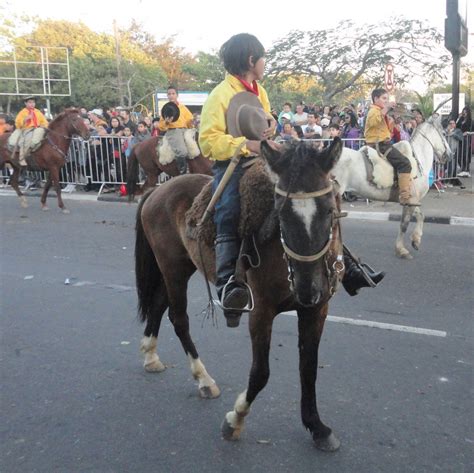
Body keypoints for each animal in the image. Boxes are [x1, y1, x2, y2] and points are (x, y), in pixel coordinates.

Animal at [135, 137, 346, 450]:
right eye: (281, 212)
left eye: (329, 209)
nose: (309, 289)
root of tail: (158, 189)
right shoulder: (261, 312)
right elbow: (260, 373)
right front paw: (235, 419)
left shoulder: (316, 310)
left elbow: (309, 368)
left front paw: (317, 427)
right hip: (172, 268)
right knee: (178, 318)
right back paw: (203, 379)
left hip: (180, 267)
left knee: (159, 305)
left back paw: (150, 356)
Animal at [334, 118, 452, 258]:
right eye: (443, 133)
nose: (449, 154)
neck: (417, 160)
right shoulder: (409, 202)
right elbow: (404, 224)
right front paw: (401, 249)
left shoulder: (413, 200)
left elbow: (420, 216)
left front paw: (416, 240)